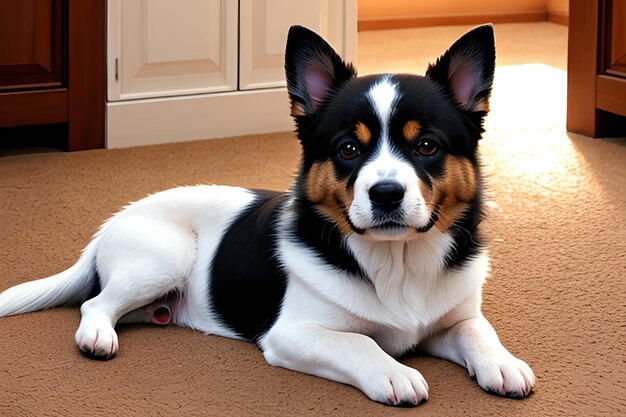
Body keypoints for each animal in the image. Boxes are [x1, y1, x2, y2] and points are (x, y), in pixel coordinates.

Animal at [1, 23, 532, 406]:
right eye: (348, 149)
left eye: (426, 146)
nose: (385, 194)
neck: (398, 260)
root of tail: (110, 223)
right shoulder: (292, 333)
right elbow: (360, 343)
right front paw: (395, 372)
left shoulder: (451, 319)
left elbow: (476, 329)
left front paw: (501, 362)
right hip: (163, 256)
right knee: (94, 304)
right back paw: (97, 336)